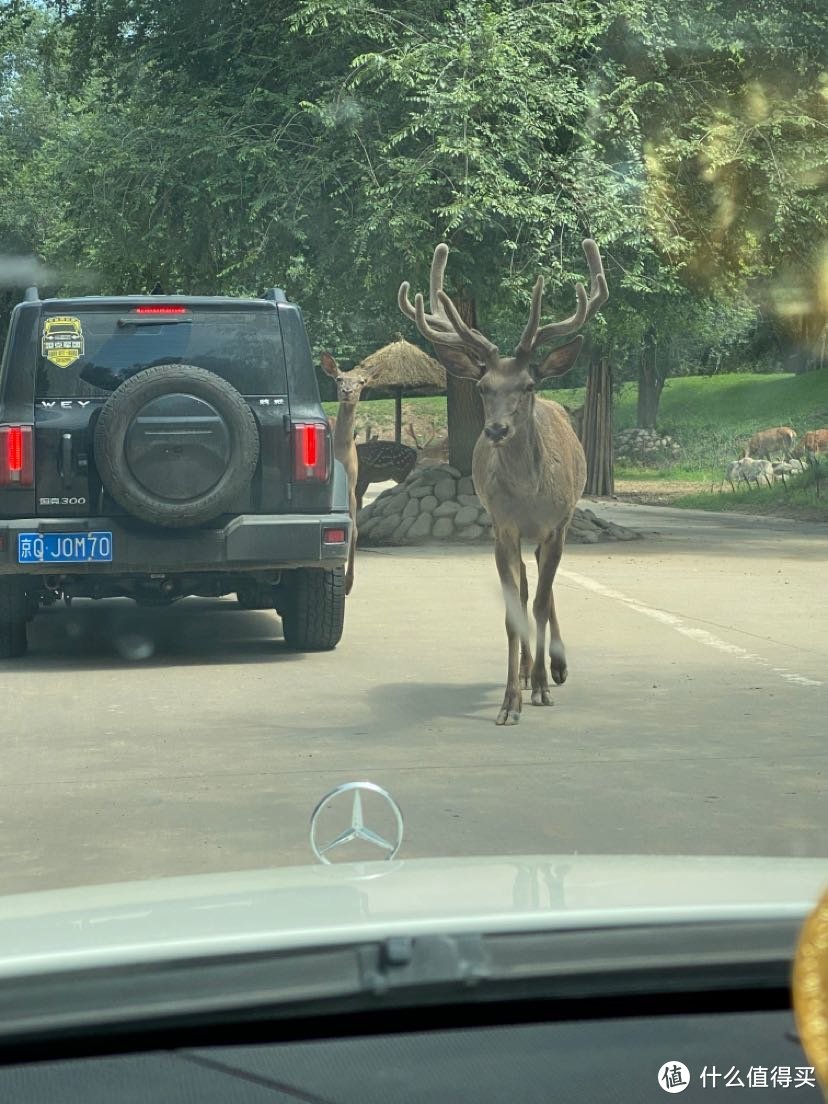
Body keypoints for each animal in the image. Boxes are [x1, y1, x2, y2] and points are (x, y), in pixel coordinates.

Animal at [401, 237, 609, 728]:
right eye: (482, 387)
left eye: (528, 384)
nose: (496, 430)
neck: (530, 497)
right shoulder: (502, 526)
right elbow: (516, 609)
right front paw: (510, 700)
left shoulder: (557, 524)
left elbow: (540, 603)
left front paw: (540, 688)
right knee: (532, 585)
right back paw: (536, 668)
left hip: (561, 524)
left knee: (545, 589)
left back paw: (556, 668)